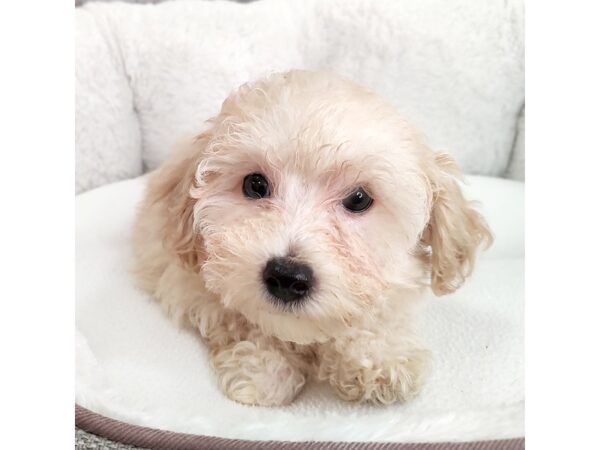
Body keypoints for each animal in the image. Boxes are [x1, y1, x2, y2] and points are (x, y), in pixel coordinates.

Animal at [132, 70, 492, 408]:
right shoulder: (186, 280)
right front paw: (264, 369)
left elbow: (376, 316)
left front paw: (379, 358)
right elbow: (244, 319)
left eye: (359, 199)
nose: (287, 276)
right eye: (255, 185)